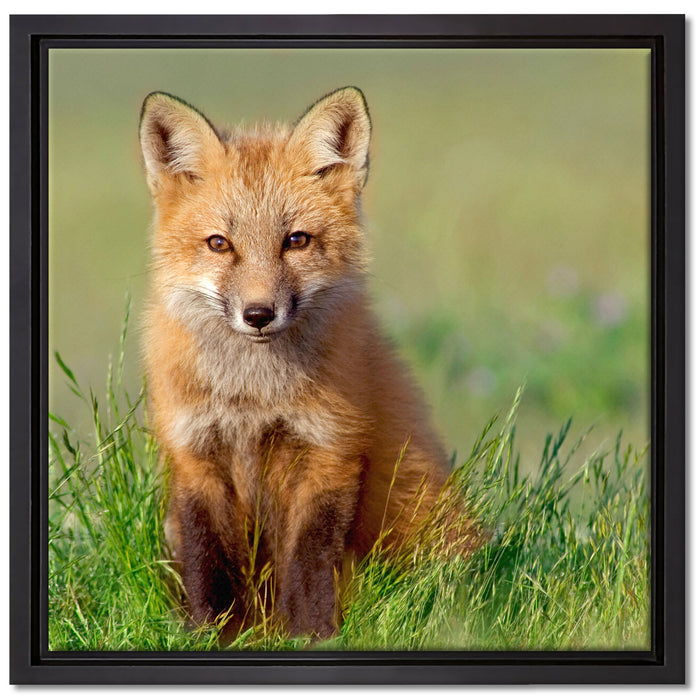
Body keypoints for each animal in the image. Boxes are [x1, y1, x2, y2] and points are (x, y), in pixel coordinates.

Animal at [139, 87, 479, 641]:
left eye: (295, 240)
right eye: (219, 244)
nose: (258, 314)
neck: (254, 397)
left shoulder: (329, 450)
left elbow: (309, 561)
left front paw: (309, 635)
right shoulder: (195, 454)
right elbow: (207, 561)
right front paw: (212, 634)